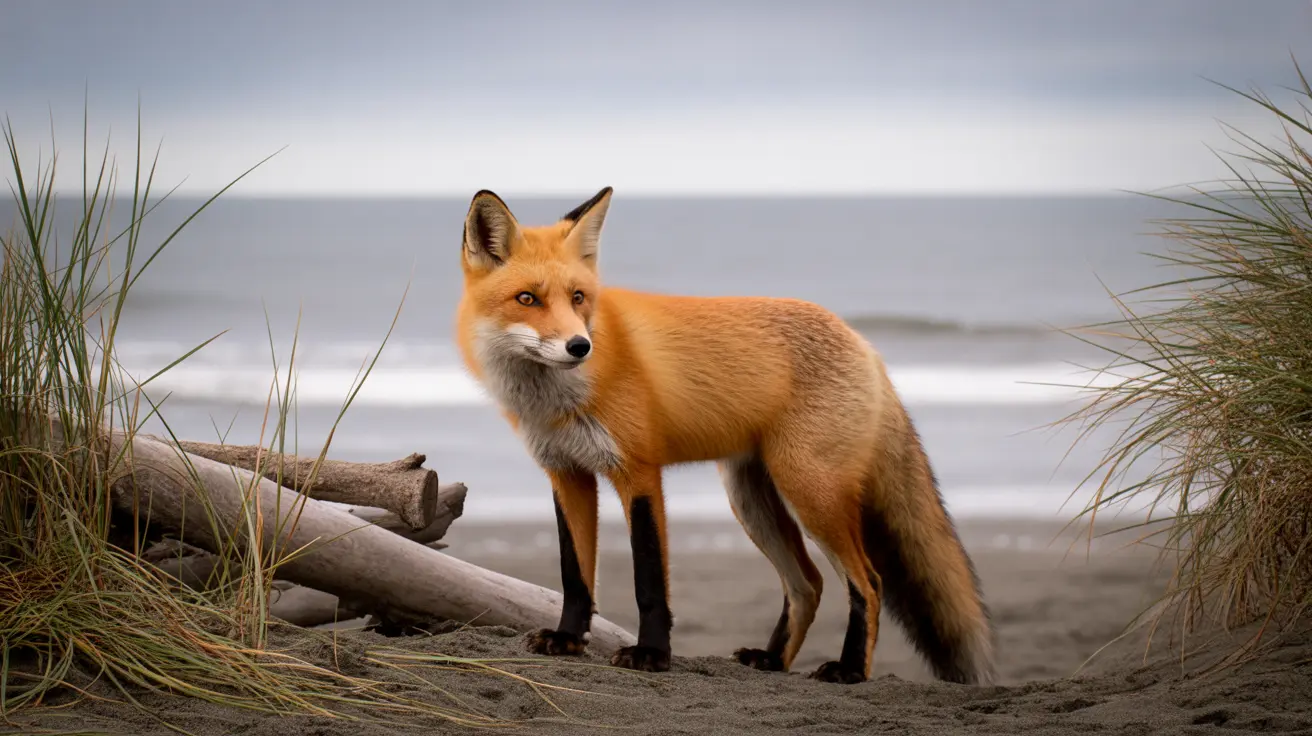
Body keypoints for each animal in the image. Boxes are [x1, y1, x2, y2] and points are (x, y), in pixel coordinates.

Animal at [454, 186, 996, 685]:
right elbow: (575, 574)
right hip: (751, 499)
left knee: (869, 582)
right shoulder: (567, 474)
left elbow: (648, 579)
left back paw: (849, 670)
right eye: (528, 299)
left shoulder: (638, 472)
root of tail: (864, 343)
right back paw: (773, 660)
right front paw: (567, 639)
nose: (579, 346)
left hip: (809, 492)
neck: (558, 401)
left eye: (578, 298)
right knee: (809, 584)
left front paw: (652, 654)